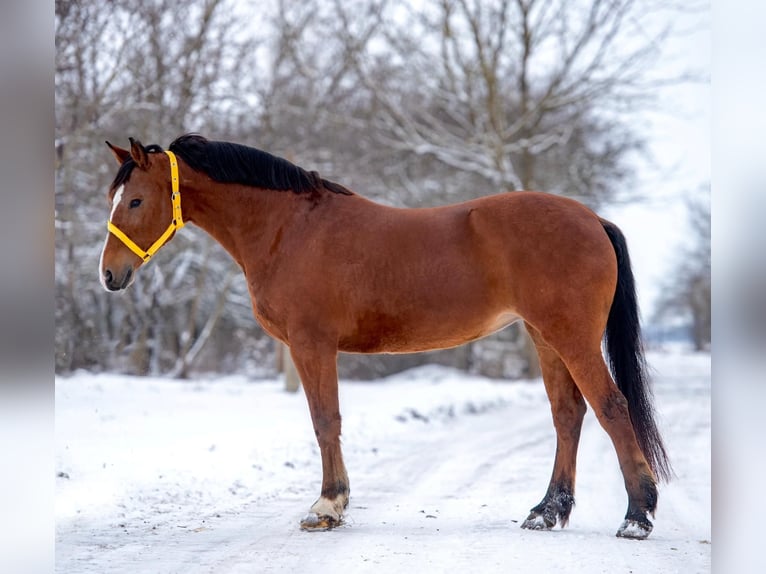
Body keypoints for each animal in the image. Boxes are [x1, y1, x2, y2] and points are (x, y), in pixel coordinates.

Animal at [98, 134, 671, 539]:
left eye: (135, 201)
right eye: (115, 197)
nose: (108, 274)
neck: (290, 229)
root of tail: (591, 219)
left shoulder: (311, 345)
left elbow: (325, 421)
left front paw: (327, 507)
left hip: (571, 338)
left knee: (612, 408)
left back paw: (637, 517)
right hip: (544, 337)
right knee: (567, 415)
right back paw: (546, 512)